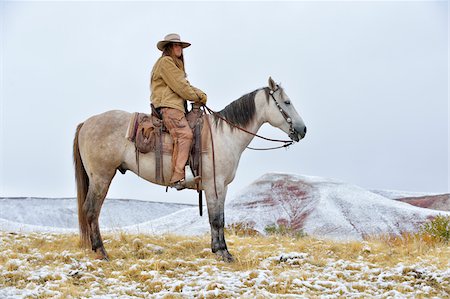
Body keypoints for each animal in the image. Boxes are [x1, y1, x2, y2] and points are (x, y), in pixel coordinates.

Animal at [73, 77, 306, 262]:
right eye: (287, 102)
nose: (303, 130)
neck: (223, 136)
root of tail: (86, 123)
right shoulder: (214, 185)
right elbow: (216, 219)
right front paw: (223, 253)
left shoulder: (222, 187)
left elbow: (219, 217)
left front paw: (220, 250)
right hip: (101, 177)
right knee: (92, 210)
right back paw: (101, 252)